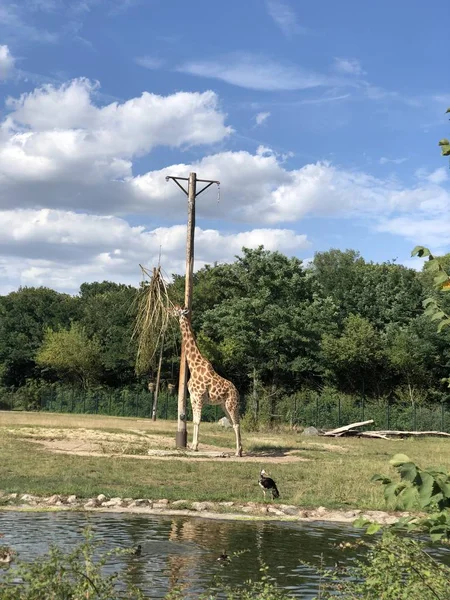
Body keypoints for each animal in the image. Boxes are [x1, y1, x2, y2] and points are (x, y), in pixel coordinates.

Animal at [172, 304, 243, 454]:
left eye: (176, 309)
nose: (169, 311)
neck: (193, 366)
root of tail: (237, 391)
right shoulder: (193, 398)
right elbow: (194, 420)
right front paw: (193, 445)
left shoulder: (199, 397)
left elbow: (198, 421)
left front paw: (194, 446)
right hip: (223, 405)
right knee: (233, 423)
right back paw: (240, 450)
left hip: (231, 404)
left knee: (236, 423)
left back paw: (238, 452)